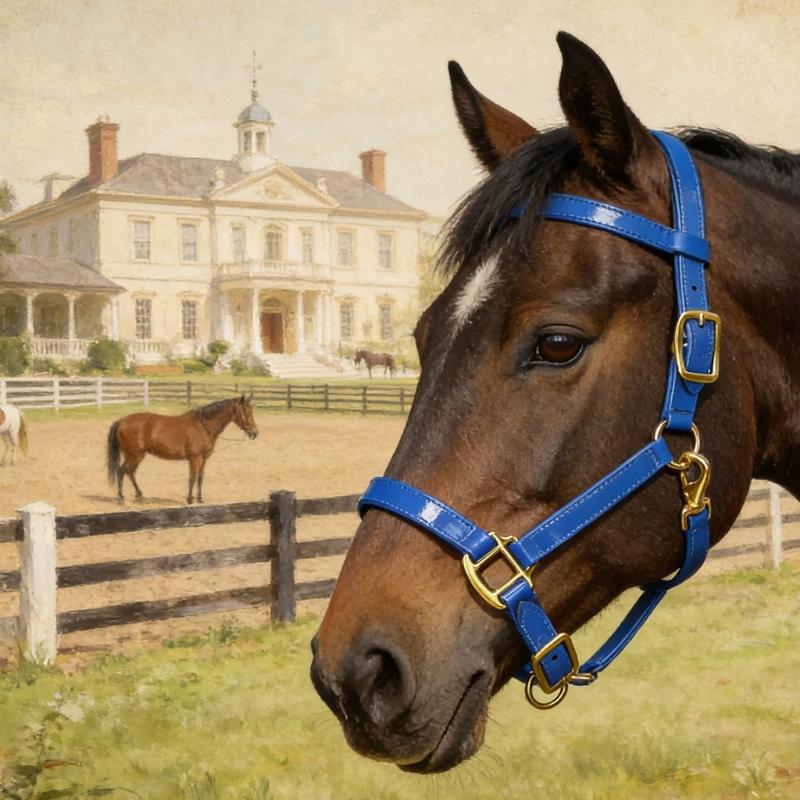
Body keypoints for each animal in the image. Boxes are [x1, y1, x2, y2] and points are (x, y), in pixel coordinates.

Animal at [106, 395, 258, 504]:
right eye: (246, 412)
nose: (254, 433)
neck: (203, 426)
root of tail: (121, 421)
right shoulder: (195, 459)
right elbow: (192, 478)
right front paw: (190, 500)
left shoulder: (204, 459)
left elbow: (200, 478)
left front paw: (200, 499)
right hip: (134, 455)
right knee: (122, 472)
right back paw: (121, 498)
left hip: (137, 455)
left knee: (130, 473)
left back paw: (140, 495)